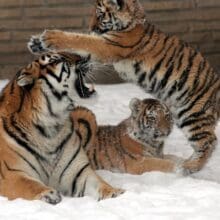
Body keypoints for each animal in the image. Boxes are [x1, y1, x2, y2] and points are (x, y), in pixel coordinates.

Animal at [0, 51, 123, 205]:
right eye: (57, 60)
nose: (87, 56)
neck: (50, 127)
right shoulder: (11, 174)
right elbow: (29, 185)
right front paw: (48, 194)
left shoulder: (77, 172)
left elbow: (99, 183)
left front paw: (114, 193)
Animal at [28, 0, 220, 174]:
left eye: (99, 14)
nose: (91, 27)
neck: (132, 21)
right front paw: (36, 43)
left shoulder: (107, 46)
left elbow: (80, 40)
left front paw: (50, 37)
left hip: (193, 114)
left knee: (209, 141)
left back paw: (189, 166)